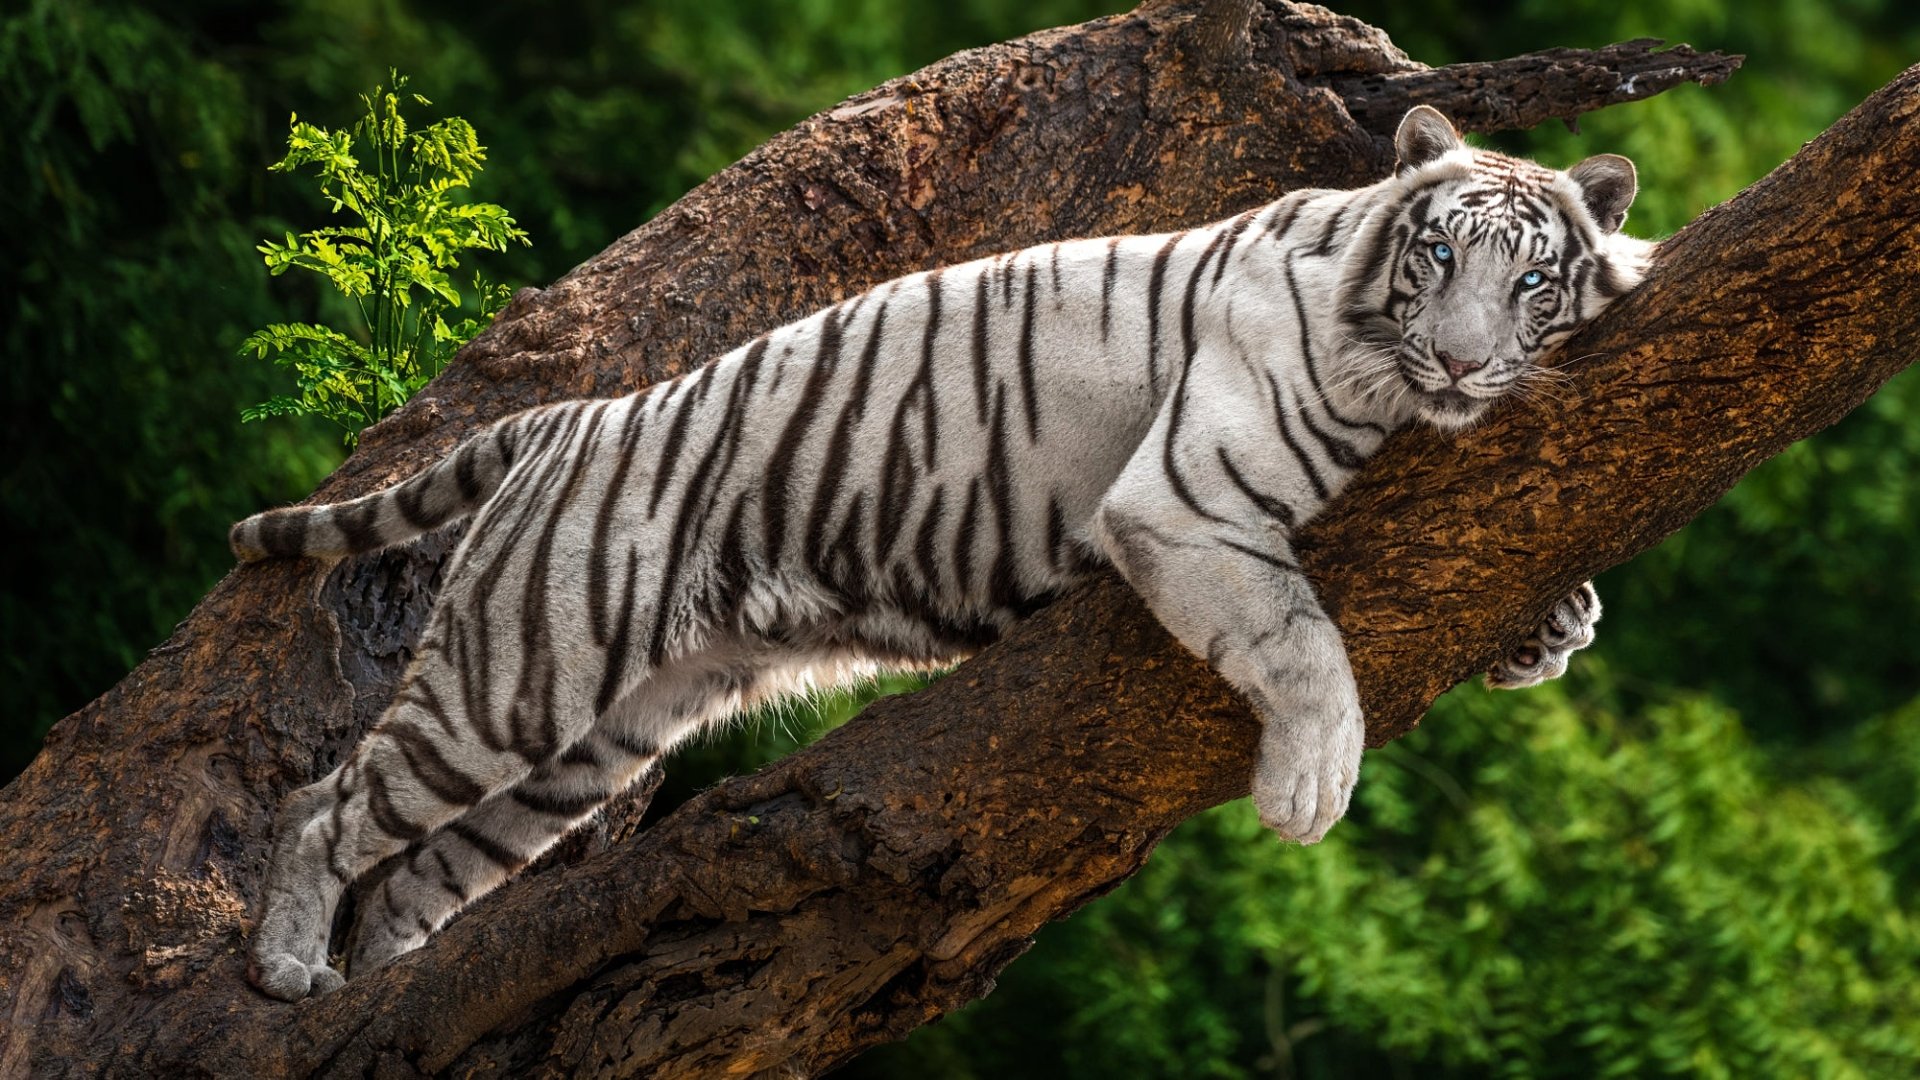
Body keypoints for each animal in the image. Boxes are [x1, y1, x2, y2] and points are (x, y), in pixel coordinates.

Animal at [232, 106, 1649, 1001]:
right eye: (1440, 255)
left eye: (1534, 282)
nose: (1460, 361)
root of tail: (570, 414)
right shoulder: (1186, 497)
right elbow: (1304, 643)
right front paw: (1309, 789)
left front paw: (1556, 623)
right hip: (523, 668)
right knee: (322, 808)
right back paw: (290, 968)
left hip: (593, 743)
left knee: (419, 878)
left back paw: (369, 986)